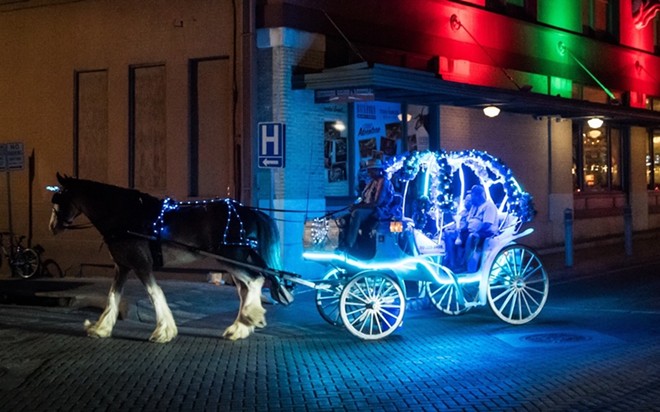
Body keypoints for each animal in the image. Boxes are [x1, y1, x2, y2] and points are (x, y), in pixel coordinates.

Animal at [49, 173, 292, 342]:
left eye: (58, 199)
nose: (52, 227)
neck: (125, 215)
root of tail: (249, 211)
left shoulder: (141, 264)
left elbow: (155, 294)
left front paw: (163, 331)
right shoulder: (123, 265)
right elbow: (113, 296)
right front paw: (101, 328)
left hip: (230, 257)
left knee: (256, 280)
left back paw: (251, 317)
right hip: (235, 260)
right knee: (245, 289)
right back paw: (240, 327)